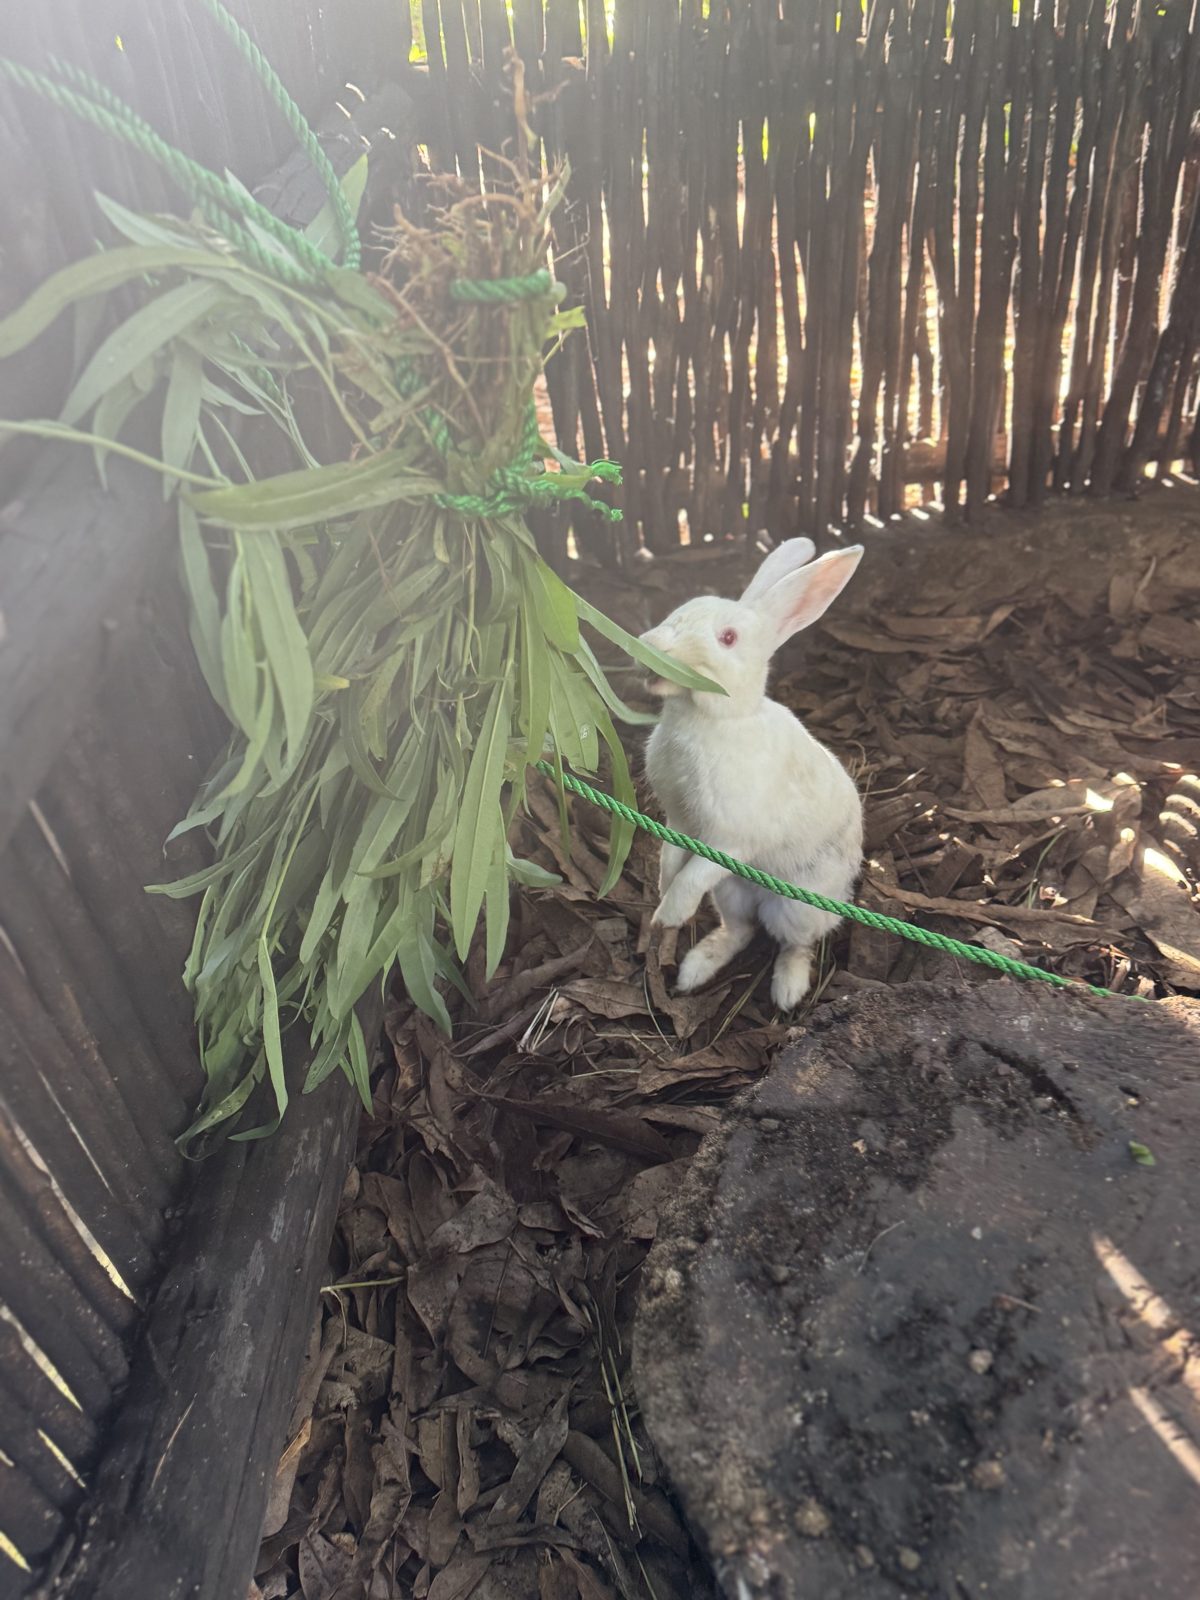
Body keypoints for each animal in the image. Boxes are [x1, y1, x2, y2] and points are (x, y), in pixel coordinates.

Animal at [638, 537, 864, 1010]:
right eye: (681, 610)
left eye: (728, 638)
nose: (649, 648)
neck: (712, 719)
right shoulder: (679, 820)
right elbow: (672, 858)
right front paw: (662, 887)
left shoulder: (729, 841)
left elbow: (692, 875)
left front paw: (666, 915)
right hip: (731, 891)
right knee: (739, 930)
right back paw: (694, 970)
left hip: (796, 908)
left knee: (795, 944)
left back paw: (787, 992)